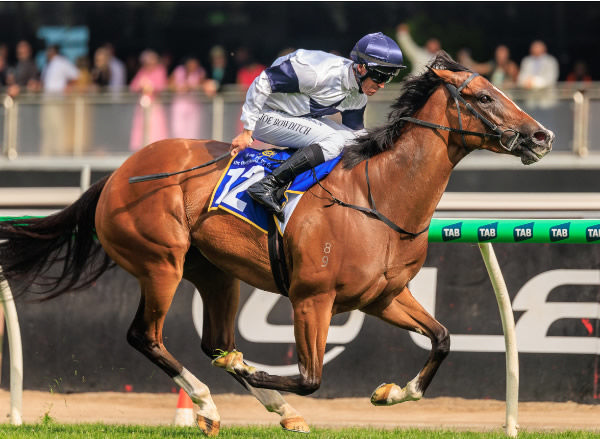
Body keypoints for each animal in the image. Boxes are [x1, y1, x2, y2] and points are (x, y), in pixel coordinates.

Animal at [1, 52, 552, 436]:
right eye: (484, 98)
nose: (541, 136)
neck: (379, 198)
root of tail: (118, 174)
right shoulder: (312, 298)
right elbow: (309, 377)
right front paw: (256, 374)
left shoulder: (383, 297)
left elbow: (442, 338)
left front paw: (392, 392)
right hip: (161, 263)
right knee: (147, 337)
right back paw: (207, 403)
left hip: (214, 273)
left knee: (214, 342)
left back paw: (273, 406)